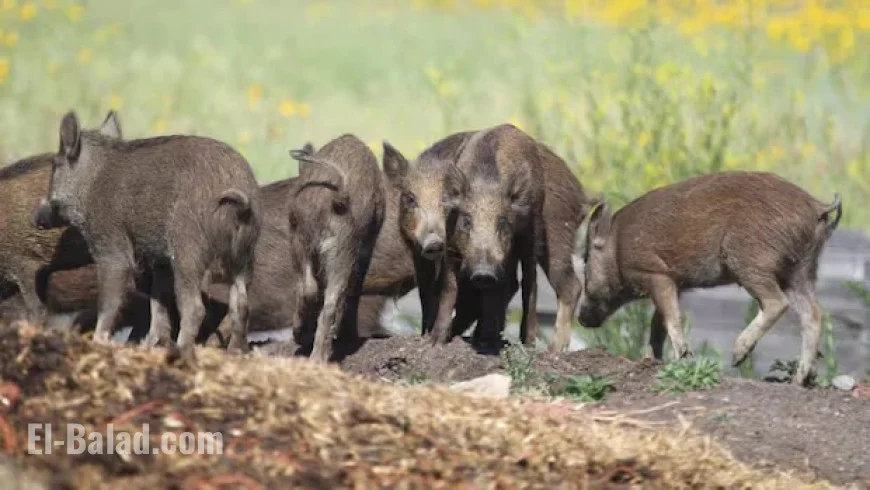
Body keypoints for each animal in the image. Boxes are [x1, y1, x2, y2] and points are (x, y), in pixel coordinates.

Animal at [34, 111, 261, 351]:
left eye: (55, 165)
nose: (36, 218)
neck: (90, 182)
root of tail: (241, 204)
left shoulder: (110, 241)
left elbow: (109, 298)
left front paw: (98, 341)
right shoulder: (161, 261)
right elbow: (157, 300)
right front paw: (149, 344)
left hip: (188, 247)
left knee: (195, 307)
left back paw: (180, 350)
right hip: (243, 258)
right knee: (241, 306)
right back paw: (235, 351)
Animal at [287, 135, 386, 362]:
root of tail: (338, 196)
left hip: (310, 243)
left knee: (313, 290)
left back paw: (312, 353)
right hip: (334, 247)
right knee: (323, 294)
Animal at [571, 171, 842, 386]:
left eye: (585, 260)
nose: (581, 319)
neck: (617, 247)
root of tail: (817, 206)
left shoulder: (655, 273)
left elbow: (671, 318)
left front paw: (681, 357)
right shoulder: (674, 283)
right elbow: (657, 324)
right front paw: (650, 360)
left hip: (751, 261)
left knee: (777, 302)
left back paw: (737, 357)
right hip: (801, 270)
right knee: (813, 313)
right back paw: (800, 379)